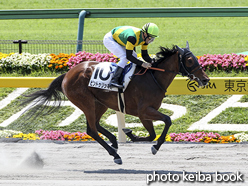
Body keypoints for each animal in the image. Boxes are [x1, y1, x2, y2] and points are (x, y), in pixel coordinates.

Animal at [22, 42, 209, 164]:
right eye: (190, 60)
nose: (206, 80)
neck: (154, 77)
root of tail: (67, 74)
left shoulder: (146, 113)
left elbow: (152, 134)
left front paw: (131, 134)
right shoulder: (143, 111)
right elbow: (166, 122)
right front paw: (152, 145)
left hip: (100, 103)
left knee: (96, 125)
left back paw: (114, 141)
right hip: (86, 102)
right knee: (91, 129)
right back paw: (115, 154)